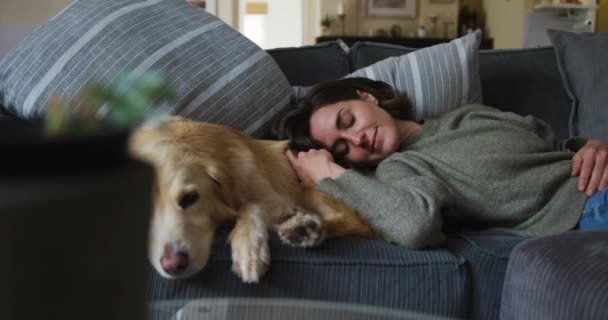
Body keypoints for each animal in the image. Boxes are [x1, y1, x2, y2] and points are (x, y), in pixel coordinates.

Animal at [131, 117, 372, 282]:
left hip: (308, 192)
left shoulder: (277, 198)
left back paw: (306, 227)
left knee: (353, 223)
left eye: (190, 198)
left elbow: (249, 205)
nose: (173, 265)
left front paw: (249, 249)